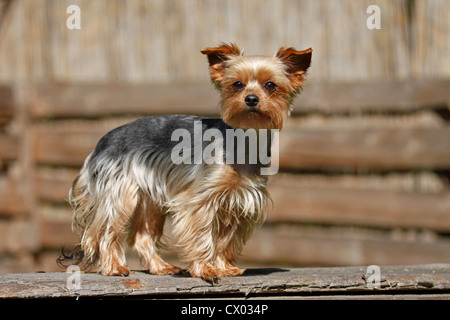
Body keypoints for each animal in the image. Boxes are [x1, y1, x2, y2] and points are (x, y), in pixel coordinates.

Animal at [59, 43, 312, 282]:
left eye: (270, 85)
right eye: (237, 85)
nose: (251, 99)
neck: (245, 139)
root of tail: (101, 143)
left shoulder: (237, 200)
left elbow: (226, 239)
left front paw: (224, 267)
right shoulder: (200, 200)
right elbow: (202, 236)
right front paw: (205, 269)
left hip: (150, 199)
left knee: (142, 237)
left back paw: (162, 267)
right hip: (120, 192)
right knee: (106, 231)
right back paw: (114, 267)